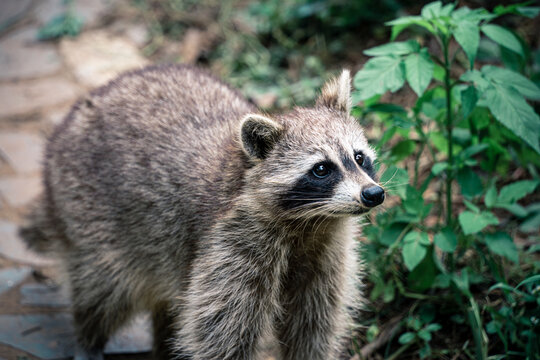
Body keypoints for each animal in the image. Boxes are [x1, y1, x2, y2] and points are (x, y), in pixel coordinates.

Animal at [20, 65, 384, 360]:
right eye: (322, 169)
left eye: (359, 157)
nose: (373, 194)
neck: (309, 221)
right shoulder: (233, 242)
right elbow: (221, 330)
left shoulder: (326, 249)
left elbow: (314, 319)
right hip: (86, 207)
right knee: (104, 287)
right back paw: (89, 339)